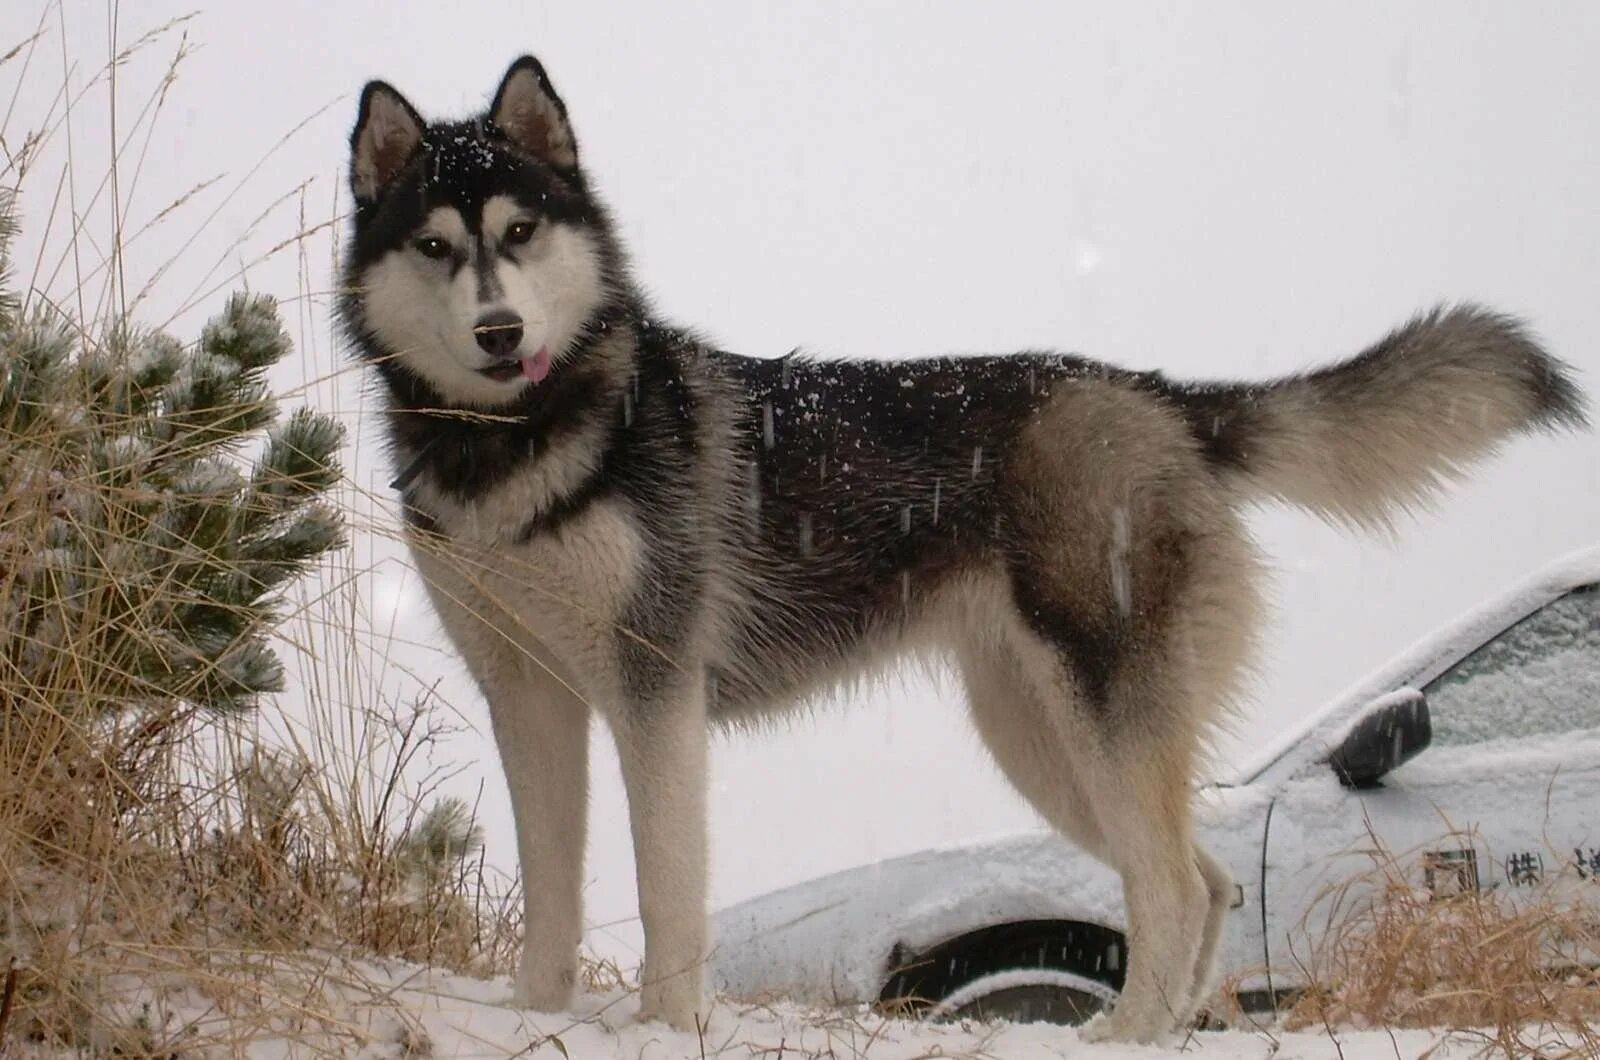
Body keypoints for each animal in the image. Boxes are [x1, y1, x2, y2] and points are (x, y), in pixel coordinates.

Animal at [340, 54, 1587, 1043]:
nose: (500, 333)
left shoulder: (656, 690)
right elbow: (551, 890)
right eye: (437, 244)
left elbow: (665, 889)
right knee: (1209, 878)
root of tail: (1157, 396)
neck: (514, 448)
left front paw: (662, 1027)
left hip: (1095, 717)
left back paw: (1116, 1037)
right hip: (1040, 740)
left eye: (520, 232)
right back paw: (1161, 1030)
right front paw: (533, 1019)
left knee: (1176, 887)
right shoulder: (527, 695)